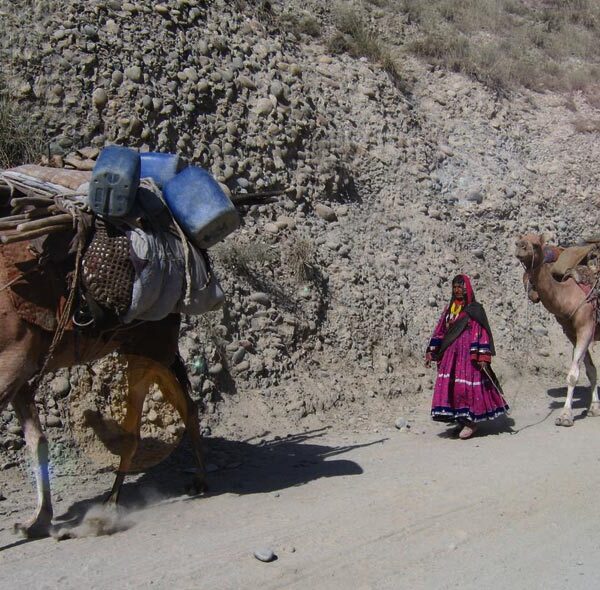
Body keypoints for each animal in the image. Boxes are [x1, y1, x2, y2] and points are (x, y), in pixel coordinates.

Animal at [512, 235, 596, 426]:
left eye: (536, 244)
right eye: (518, 241)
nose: (521, 248)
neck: (569, 296)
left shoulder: (586, 326)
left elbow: (573, 374)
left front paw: (565, 416)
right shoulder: (572, 332)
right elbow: (590, 370)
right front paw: (594, 408)